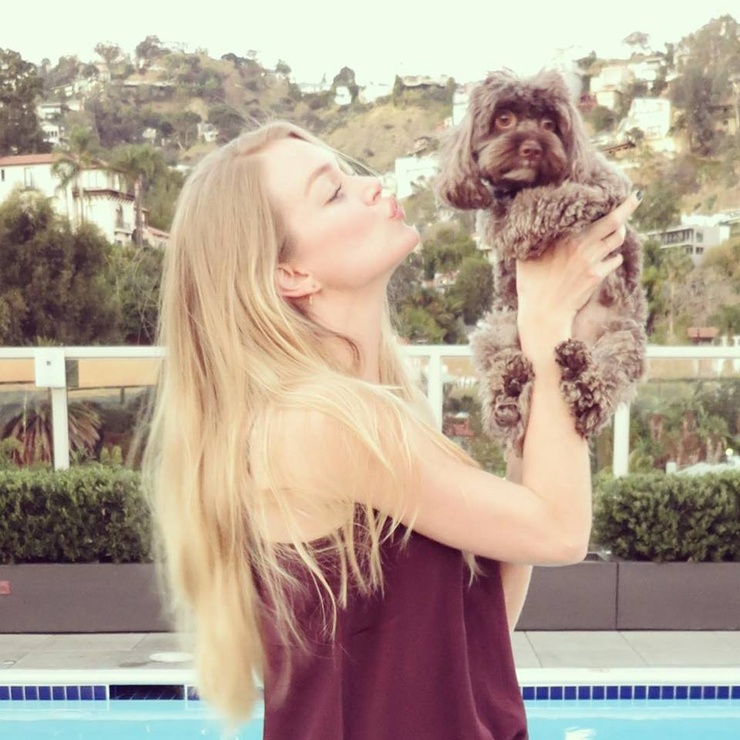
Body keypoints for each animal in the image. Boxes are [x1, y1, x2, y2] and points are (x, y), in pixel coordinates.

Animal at [435, 69, 647, 455]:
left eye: (550, 124)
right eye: (504, 119)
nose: (533, 147)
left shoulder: (607, 185)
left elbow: (555, 198)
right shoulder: (497, 219)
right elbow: (524, 211)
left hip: (623, 340)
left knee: (604, 387)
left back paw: (582, 380)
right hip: (499, 327)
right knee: (502, 368)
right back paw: (507, 395)